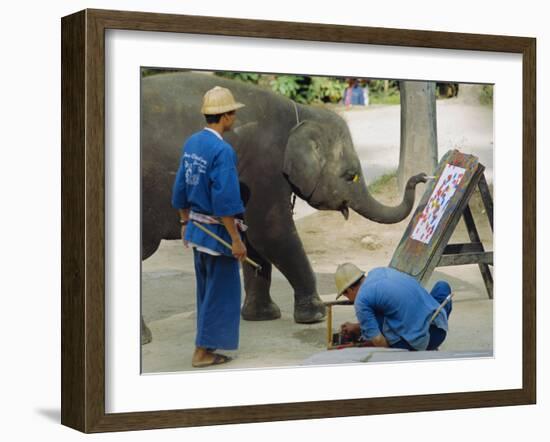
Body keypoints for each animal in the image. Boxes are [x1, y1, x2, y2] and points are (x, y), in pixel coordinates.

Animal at [141, 72, 426, 328]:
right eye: (350, 175)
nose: (421, 177)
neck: (301, 113)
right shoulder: (263, 167)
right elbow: (270, 233)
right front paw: (315, 315)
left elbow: (251, 239)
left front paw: (263, 316)